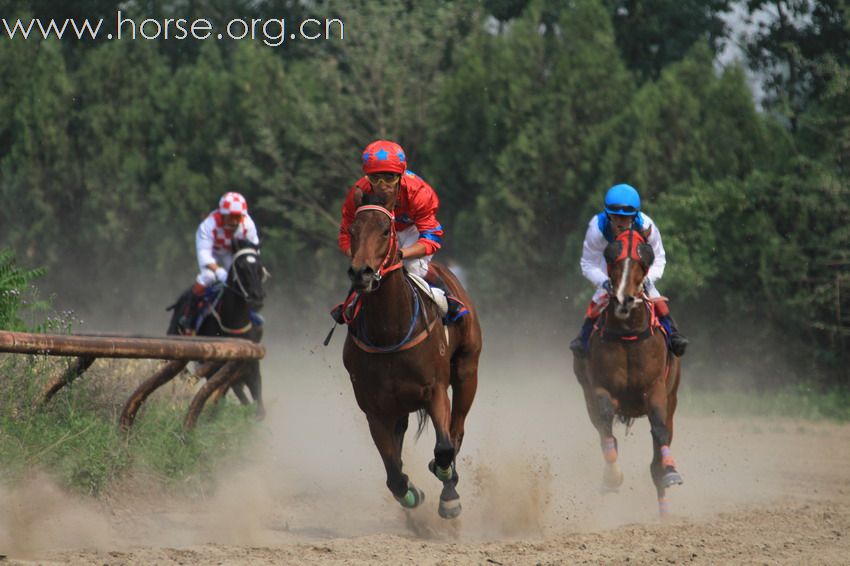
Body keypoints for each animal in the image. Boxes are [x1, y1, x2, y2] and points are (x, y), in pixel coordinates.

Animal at [342, 193, 480, 520]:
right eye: (352, 230)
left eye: (385, 231)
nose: (361, 273)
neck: (390, 332)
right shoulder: (375, 409)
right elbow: (393, 470)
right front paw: (410, 493)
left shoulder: (435, 391)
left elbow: (443, 447)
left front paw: (449, 496)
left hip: (467, 371)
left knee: (456, 430)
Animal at [568, 227, 684, 520]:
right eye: (612, 255)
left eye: (645, 257)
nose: (623, 299)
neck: (628, 333)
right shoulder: (599, 389)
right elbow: (606, 420)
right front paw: (612, 476)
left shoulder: (656, 389)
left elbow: (659, 428)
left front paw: (669, 470)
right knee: (604, 431)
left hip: (672, 398)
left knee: (660, 440)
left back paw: (664, 509)